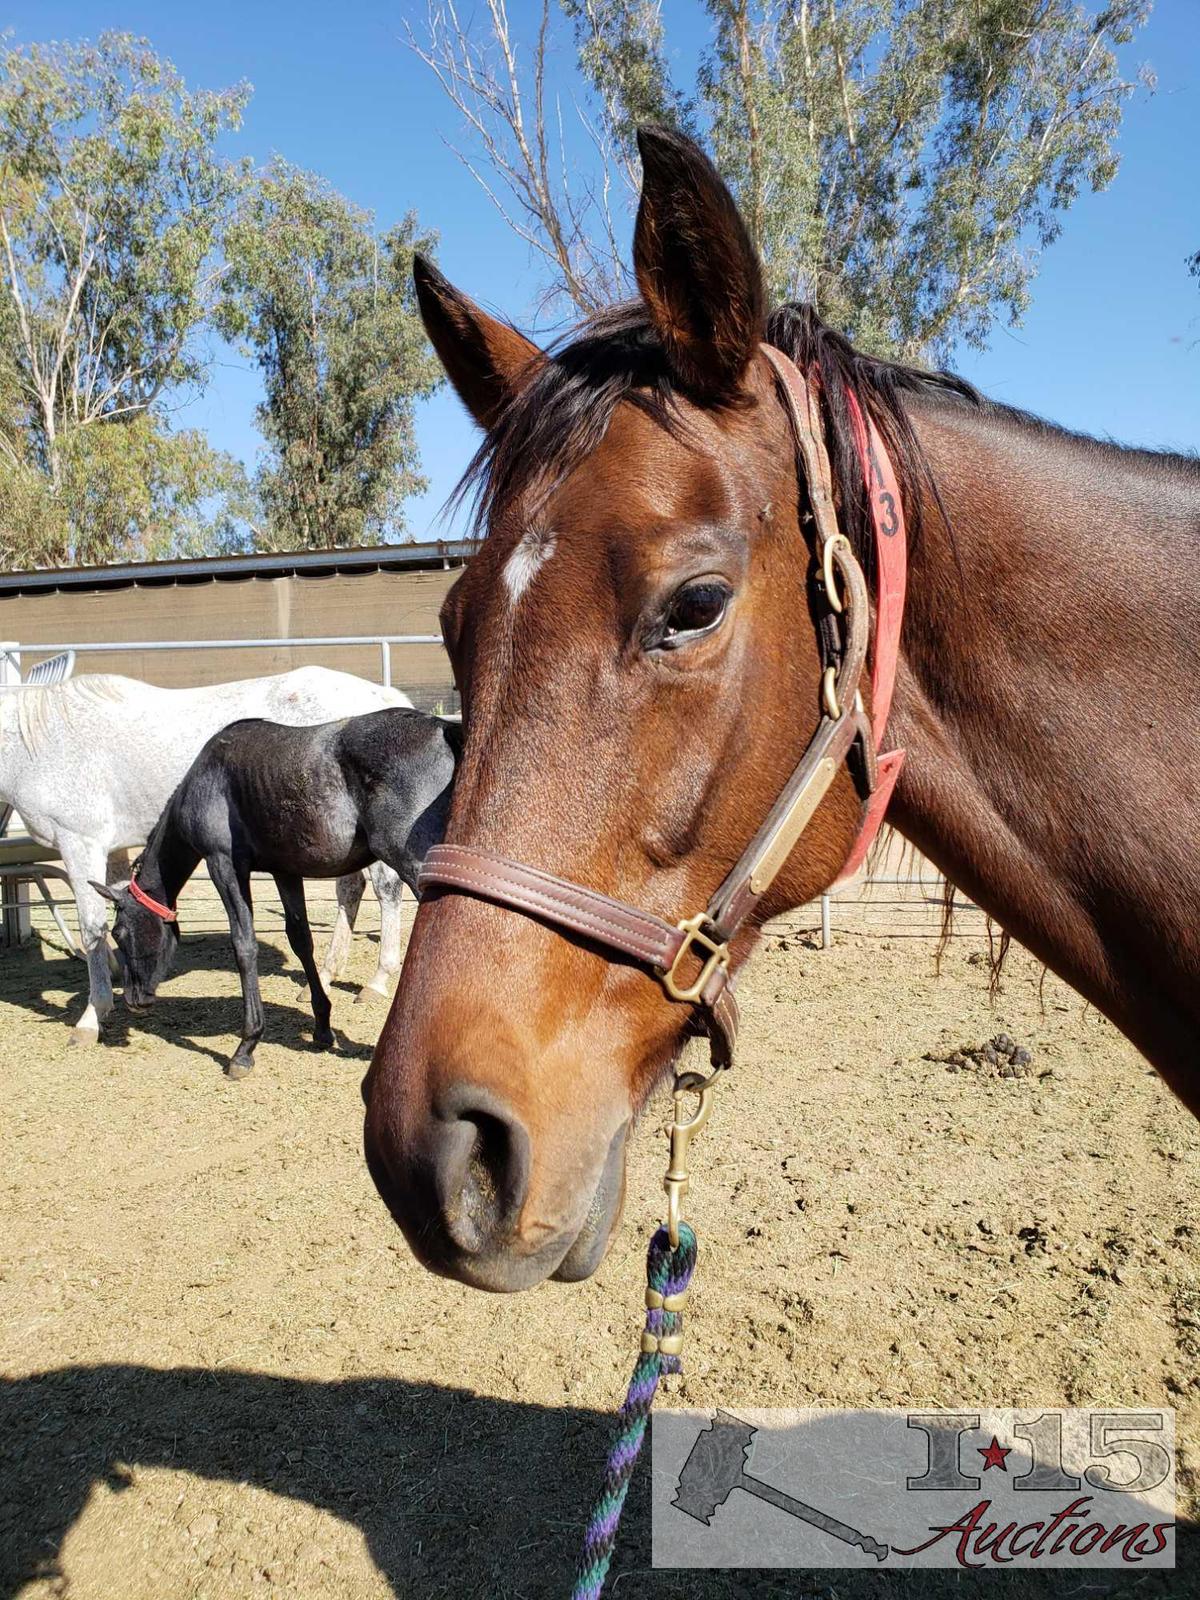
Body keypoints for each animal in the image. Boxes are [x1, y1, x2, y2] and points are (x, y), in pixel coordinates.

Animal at [1, 668, 412, 1043]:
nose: (137, 998)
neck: (38, 744)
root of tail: (381, 694)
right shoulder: (113, 847)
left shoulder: (79, 842)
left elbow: (91, 928)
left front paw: (90, 1018)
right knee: (351, 889)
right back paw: (326, 973)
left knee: (385, 890)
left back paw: (376, 981)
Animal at [94, 710, 457, 1075]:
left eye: (119, 932)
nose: (134, 999)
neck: (207, 779)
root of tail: (443, 728)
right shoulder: (285, 872)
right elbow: (301, 940)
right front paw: (322, 1025)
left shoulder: (224, 865)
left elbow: (244, 945)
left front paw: (246, 1046)